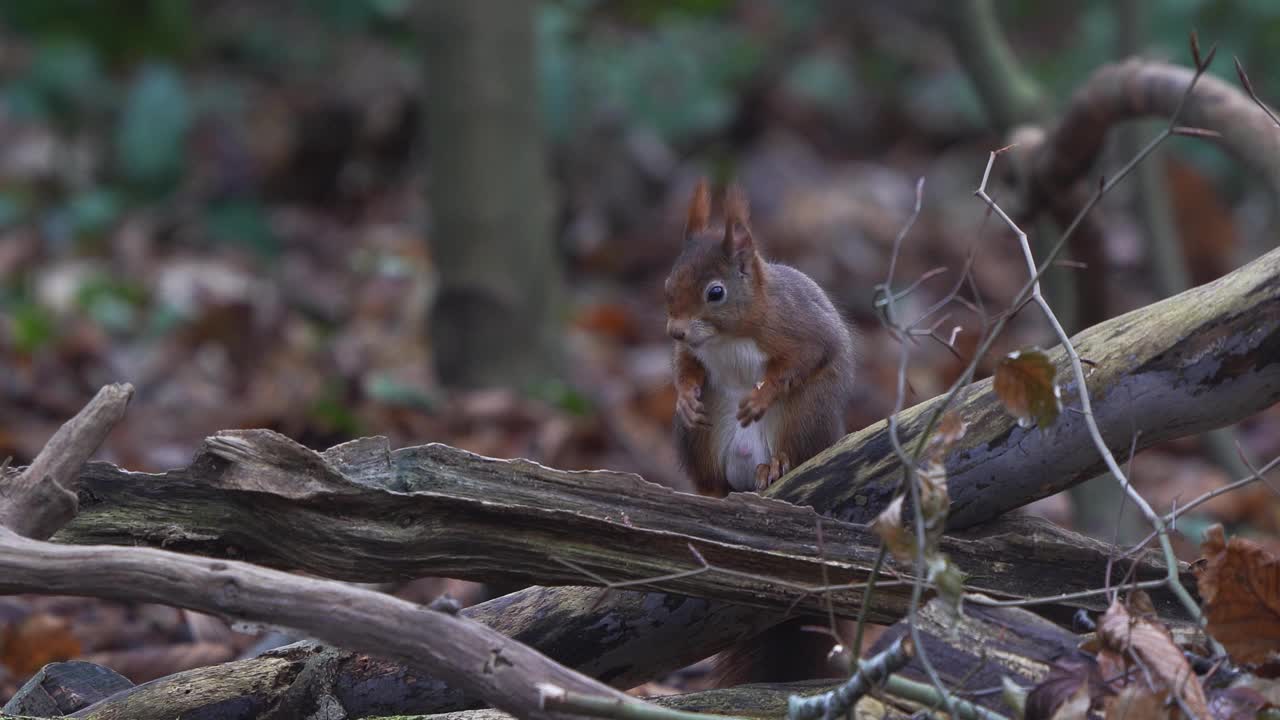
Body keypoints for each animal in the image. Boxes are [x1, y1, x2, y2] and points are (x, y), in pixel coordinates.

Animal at [665, 178, 855, 676]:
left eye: (715, 292)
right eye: (668, 283)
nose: (674, 330)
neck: (729, 334)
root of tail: (744, 474)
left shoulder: (801, 328)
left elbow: (803, 360)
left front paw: (759, 397)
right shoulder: (690, 353)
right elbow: (687, 367)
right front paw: (684, 397)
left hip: (807, 416)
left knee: (794, 444)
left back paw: (777, 465)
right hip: (702, 441)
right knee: (710, 477)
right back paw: (713, 490)